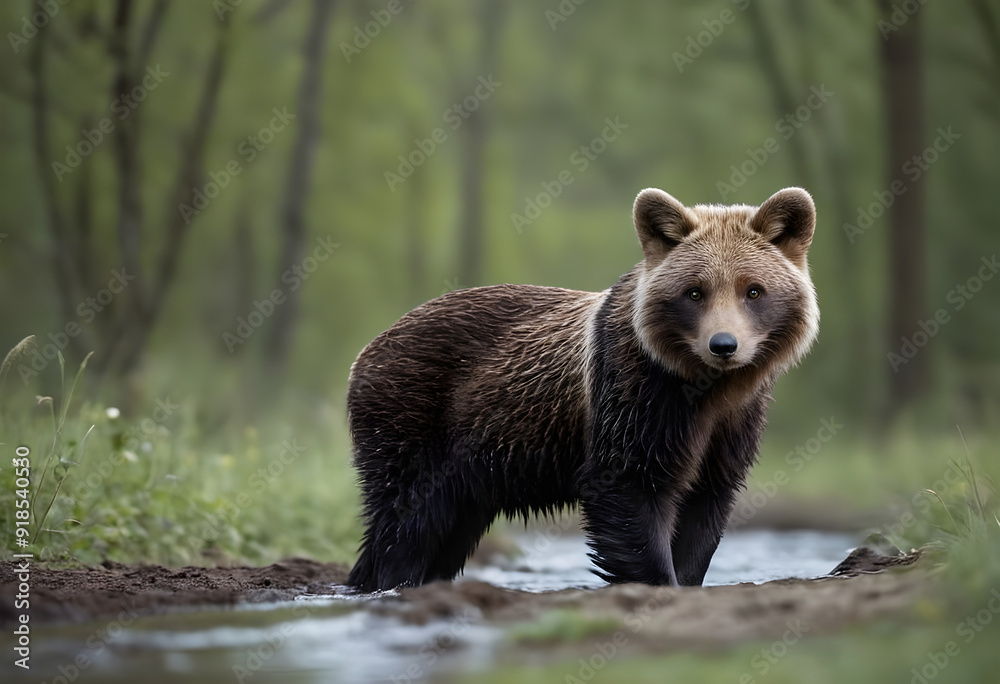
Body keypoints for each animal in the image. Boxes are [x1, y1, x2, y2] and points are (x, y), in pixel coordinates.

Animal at [346, 187, 819, 592]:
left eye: (753, 290)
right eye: (695, 292)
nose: (723, 345)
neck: (705, 390)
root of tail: (365, 351)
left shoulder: (731, 426)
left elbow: (705, 509)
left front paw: (685, 577)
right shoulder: (634, 398)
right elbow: (627, 489)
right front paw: (656, 578)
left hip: (467, 471)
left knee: (445, 528)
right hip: (415, 416)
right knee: (408, 518)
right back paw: (390, 579)